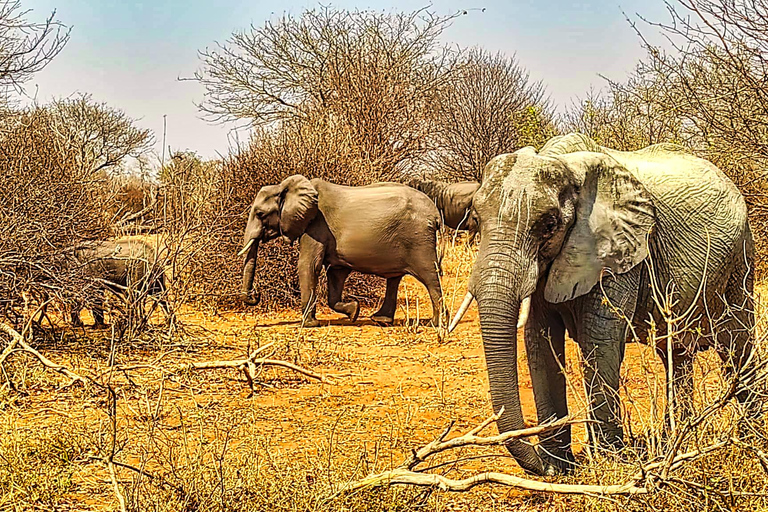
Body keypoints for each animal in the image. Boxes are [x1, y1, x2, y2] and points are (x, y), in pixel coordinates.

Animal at [238, 176, 444, 328]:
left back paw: (437, 324)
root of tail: (435, 214)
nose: (256, 295)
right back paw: (380, 320)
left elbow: (308, 265)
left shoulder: (316, 226)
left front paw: (309, 325)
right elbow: (335, 274)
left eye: (260, 214)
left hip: (419, 240)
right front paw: (354, 312)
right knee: (394, 279)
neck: (285, 188)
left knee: (430, 277)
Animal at [448, 133, 752, 476]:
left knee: (738, 346)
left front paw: (608, 463)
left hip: (739, 262)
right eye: (475, 219)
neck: (565, 165)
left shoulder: (618, 252)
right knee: (675, 353)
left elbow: (599, 342)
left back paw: (747, 438)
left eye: (549, 224)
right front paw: (558, 469)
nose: (539, 466)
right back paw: (675, 440)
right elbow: (540, 341)